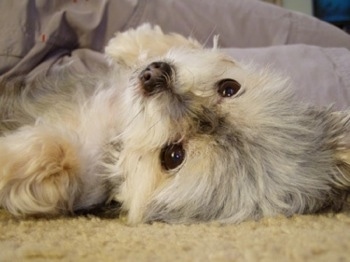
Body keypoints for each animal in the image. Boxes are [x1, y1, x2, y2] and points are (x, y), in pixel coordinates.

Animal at [0, 25, 350, 225]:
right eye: (229, 87)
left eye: (173, 156)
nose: (154, 75)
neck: (121, 121)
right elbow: (189, 45)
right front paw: (131, 41)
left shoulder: (84, 174)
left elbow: (56, 154)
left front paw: (7, 161)